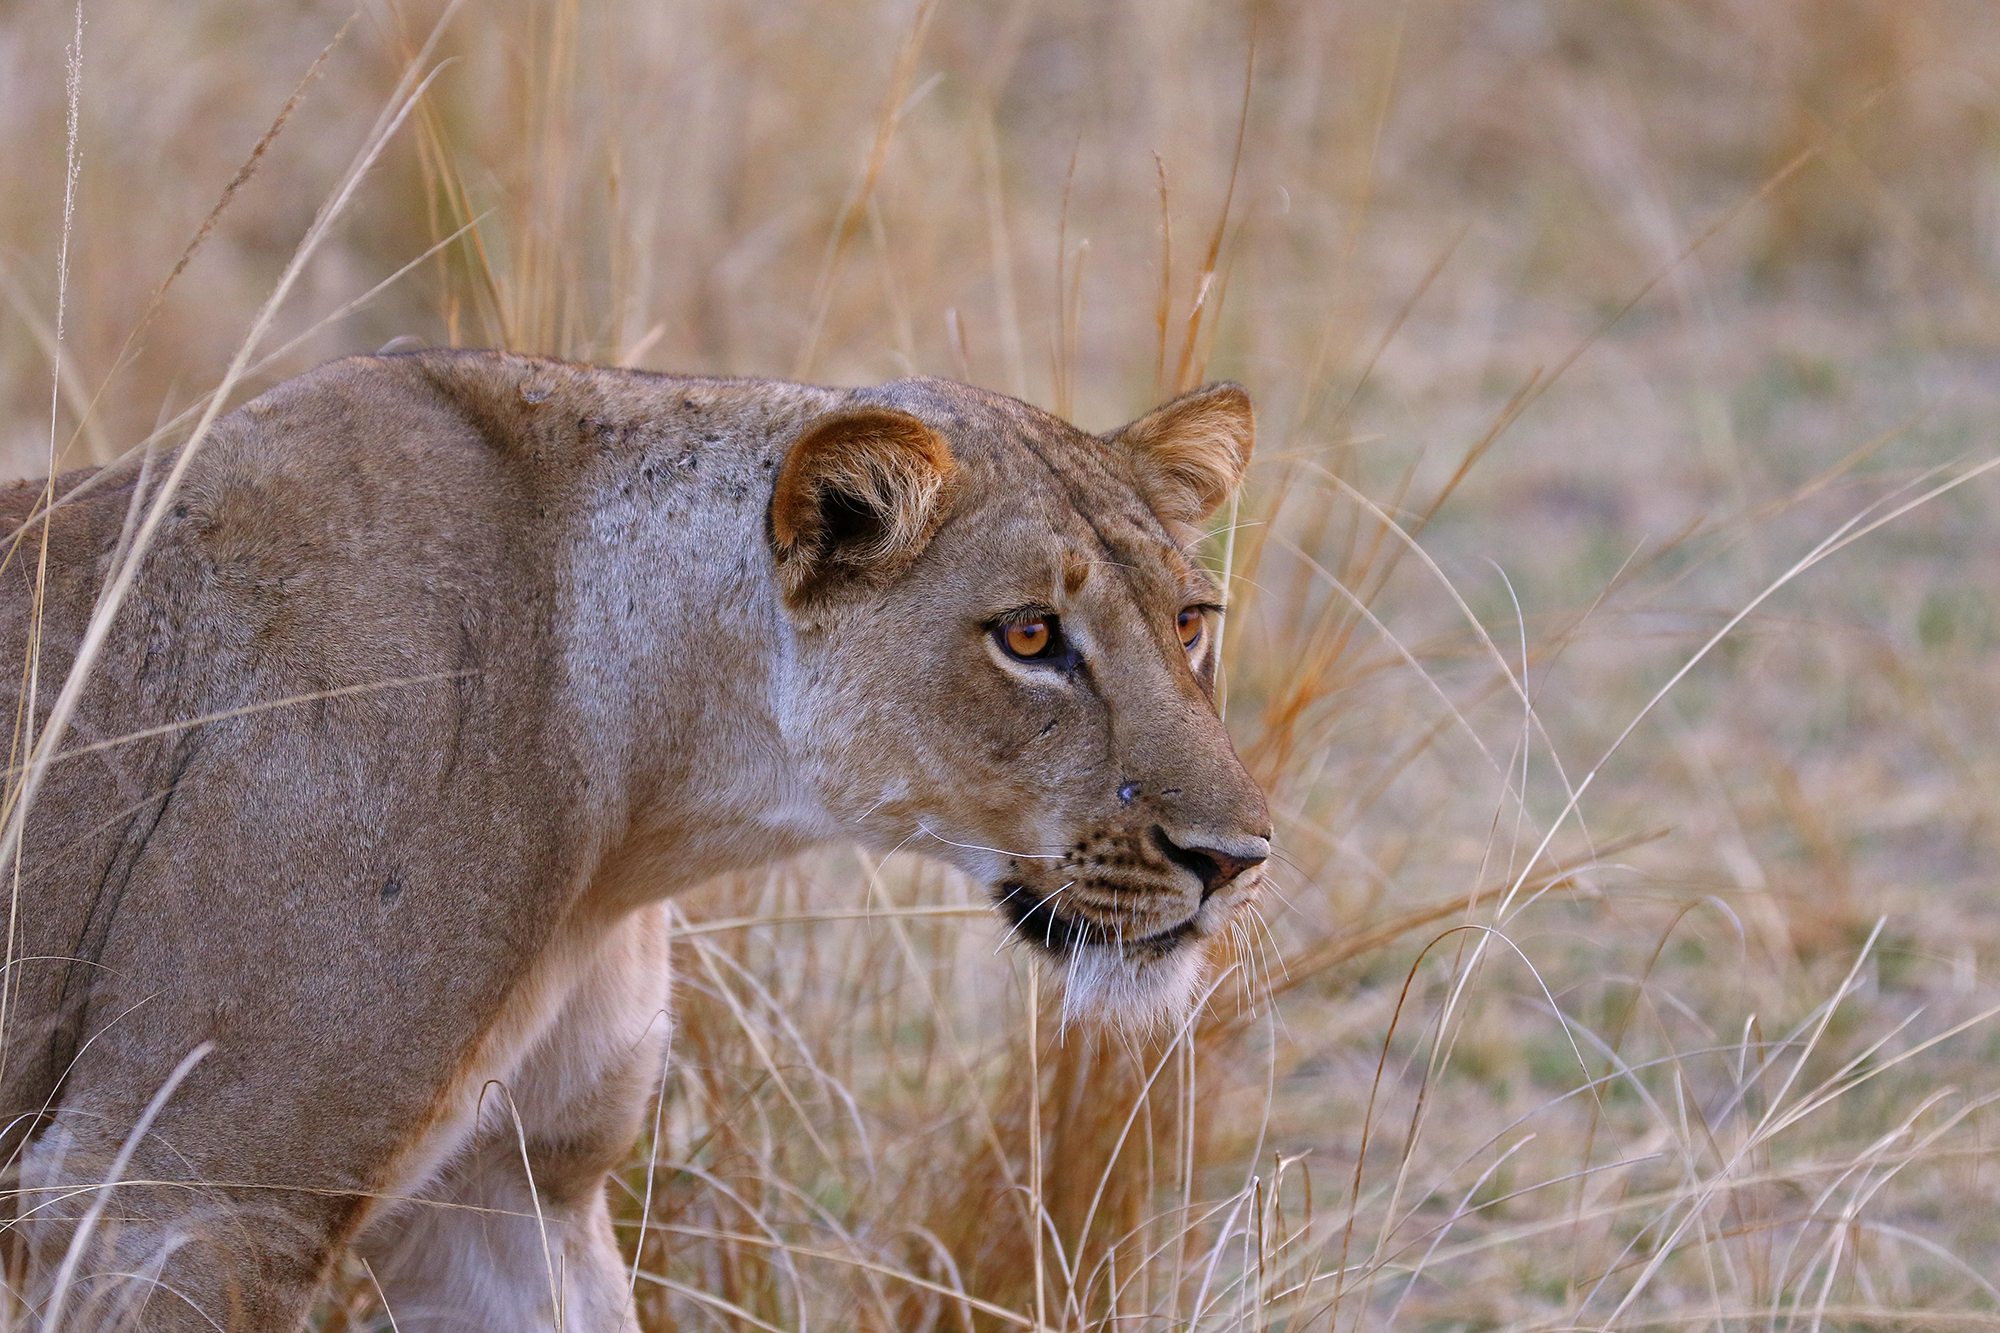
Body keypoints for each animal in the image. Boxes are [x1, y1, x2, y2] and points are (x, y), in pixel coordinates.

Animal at [0, 350, 1270, 1331]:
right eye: (1029, 635)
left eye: (1190, 623)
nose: (1234, 858)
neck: (640, 815)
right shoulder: (175, 1196)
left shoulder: (518, 1185)